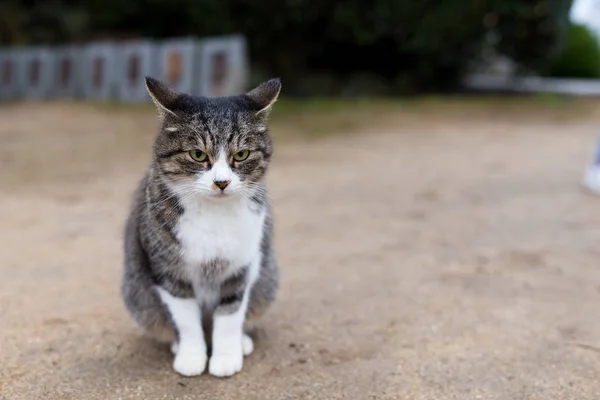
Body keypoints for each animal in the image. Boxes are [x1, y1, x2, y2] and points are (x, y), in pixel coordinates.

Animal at [123, 76, 282, 378]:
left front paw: (226, 357)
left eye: (241, 154)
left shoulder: (241, 268)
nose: (221, 182)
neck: (213, 215)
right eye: (197, 154)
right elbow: (186, 320)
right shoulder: (169, 272)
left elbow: (230, 316)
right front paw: (191, 356)